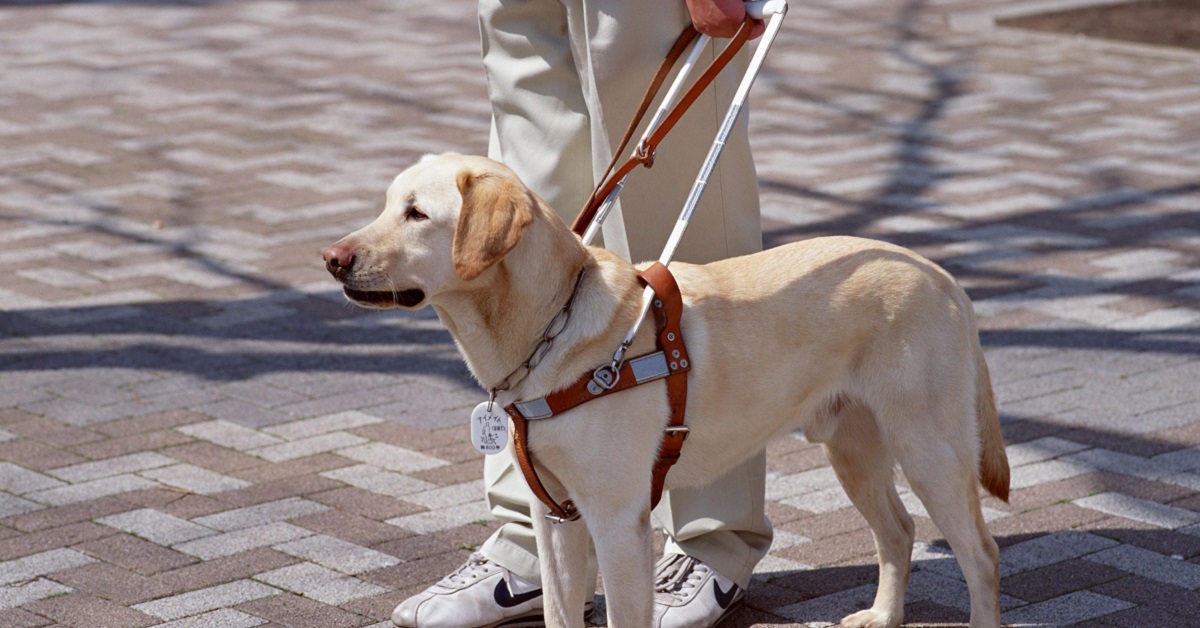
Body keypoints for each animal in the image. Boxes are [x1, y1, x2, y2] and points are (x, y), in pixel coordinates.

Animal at [324, 153, 1008, 628]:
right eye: (386, 205)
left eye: (417, 214)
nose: (330, 257)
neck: (549, 327)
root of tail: (943, 275)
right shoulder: (555, 516)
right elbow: (558, 612)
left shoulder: (616, 520)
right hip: (854, 449)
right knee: (899, 532)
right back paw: (885, 615)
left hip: (930, 450)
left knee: (981, 553)